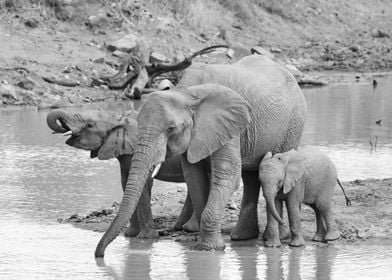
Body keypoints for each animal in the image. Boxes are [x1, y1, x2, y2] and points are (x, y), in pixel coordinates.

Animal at [46, 109, 199, 238]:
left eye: (89, 125)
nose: (62, 127)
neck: (118, 117)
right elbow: (125, 183)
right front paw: (130, 235)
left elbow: (143, 185)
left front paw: (146, 238)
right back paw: (177, 228)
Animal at [96, 54, 308, 258]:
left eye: (171, 129)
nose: (100, 255)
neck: (186, 93)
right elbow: (194, 177)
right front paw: (204, 245)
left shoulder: (229, 123)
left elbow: (227, 176)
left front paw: (210, 249)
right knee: (250, 178)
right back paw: (242, 237)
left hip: (293, 125)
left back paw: (276, 237)